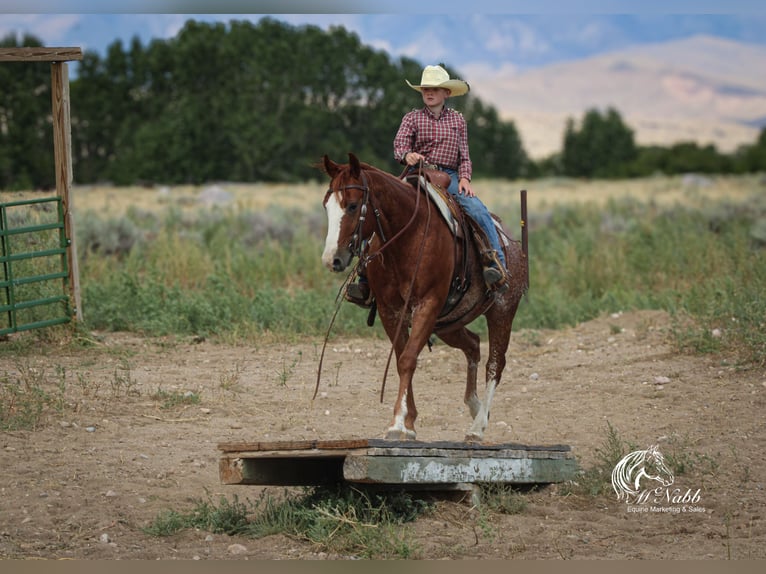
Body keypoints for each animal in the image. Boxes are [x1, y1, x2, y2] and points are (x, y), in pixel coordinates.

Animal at [320, 153, 528, 441]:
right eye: (326, 206)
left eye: (352, 206)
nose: (332, 259)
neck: (408, 237)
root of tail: (513, 244)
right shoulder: (390, 311)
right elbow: (401, 359)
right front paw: (409, 423)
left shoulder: (427, 305)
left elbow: (408, 359)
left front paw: (398, 423)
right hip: (448, 323)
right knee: (473, 345)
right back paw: (475, 407)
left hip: (502, 311)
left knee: (495, 364)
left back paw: (477, 428)